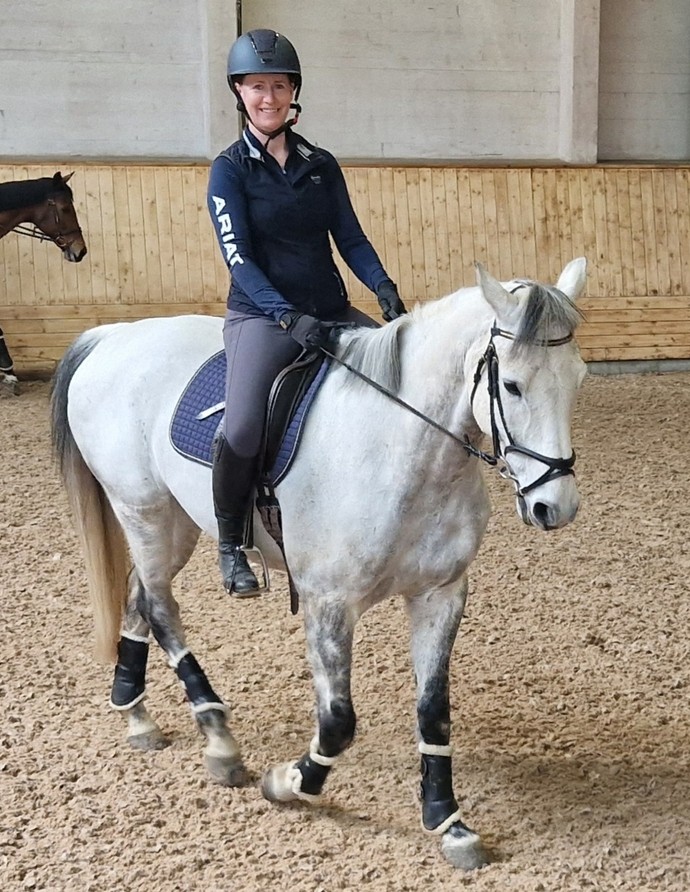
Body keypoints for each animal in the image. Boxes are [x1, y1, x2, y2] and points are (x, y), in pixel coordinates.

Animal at [50, 258, 588, 870]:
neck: (404, 451)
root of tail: (111, 336)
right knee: (161, 608)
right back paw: (218, 736)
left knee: (140, 596)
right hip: (142, 511)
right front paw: (290, 783)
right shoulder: (328, 603)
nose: (555, 507)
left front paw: (447, 821)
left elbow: (434, 710)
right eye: (512, 385)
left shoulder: (441, 593)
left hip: (176, 524)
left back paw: (135, 711)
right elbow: (337, 722)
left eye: (578, 378)